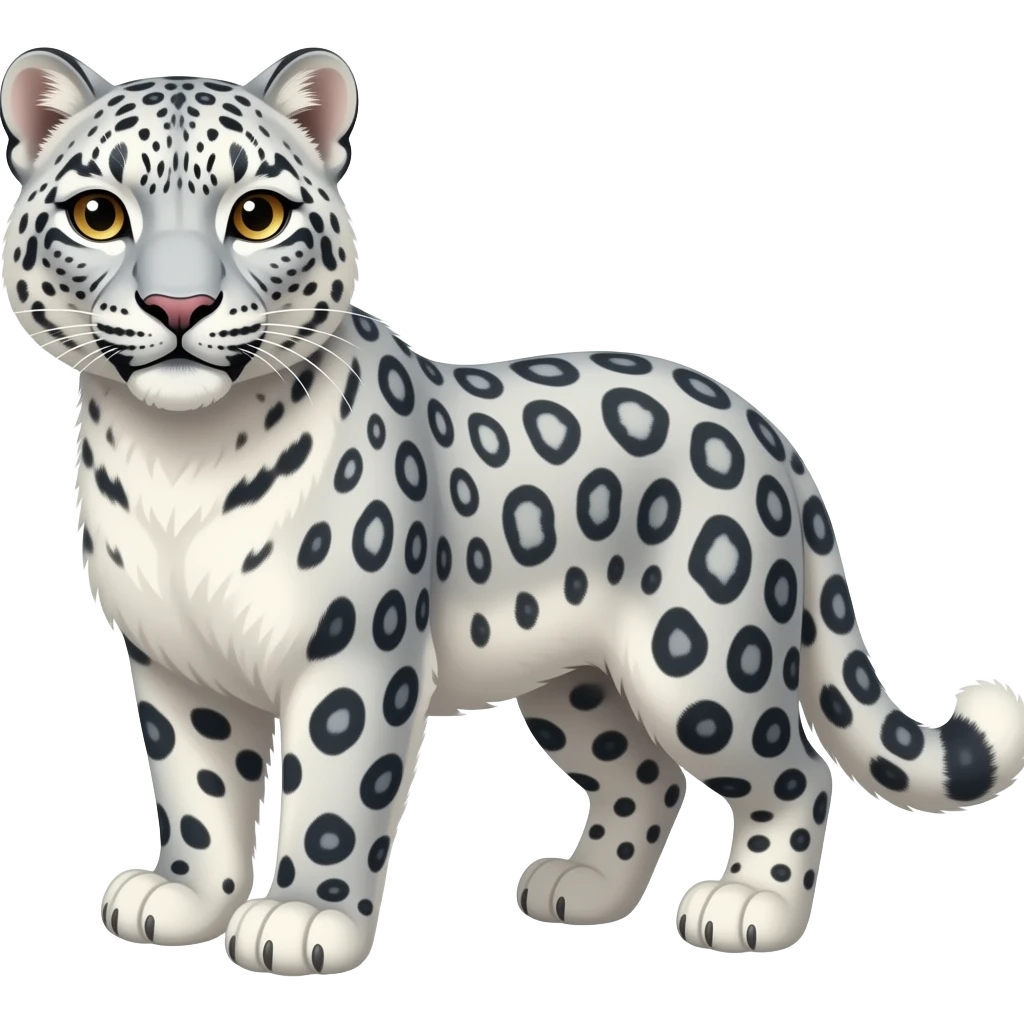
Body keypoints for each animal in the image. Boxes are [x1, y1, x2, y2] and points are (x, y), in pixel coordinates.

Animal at [2, 44, 1022, 975]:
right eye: (99, 213)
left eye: (257, 213)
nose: (179, 304)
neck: (180, 464)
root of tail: (767, 432)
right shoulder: (175, 664)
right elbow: (199, 788)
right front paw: (181, 899)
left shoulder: (356, 653)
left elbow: (334, 794)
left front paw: (302, 919)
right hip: (576, 685)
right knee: (642, 774)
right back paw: (585, 890)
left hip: (701, 663)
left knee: (795, 772)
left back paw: (748, 909)